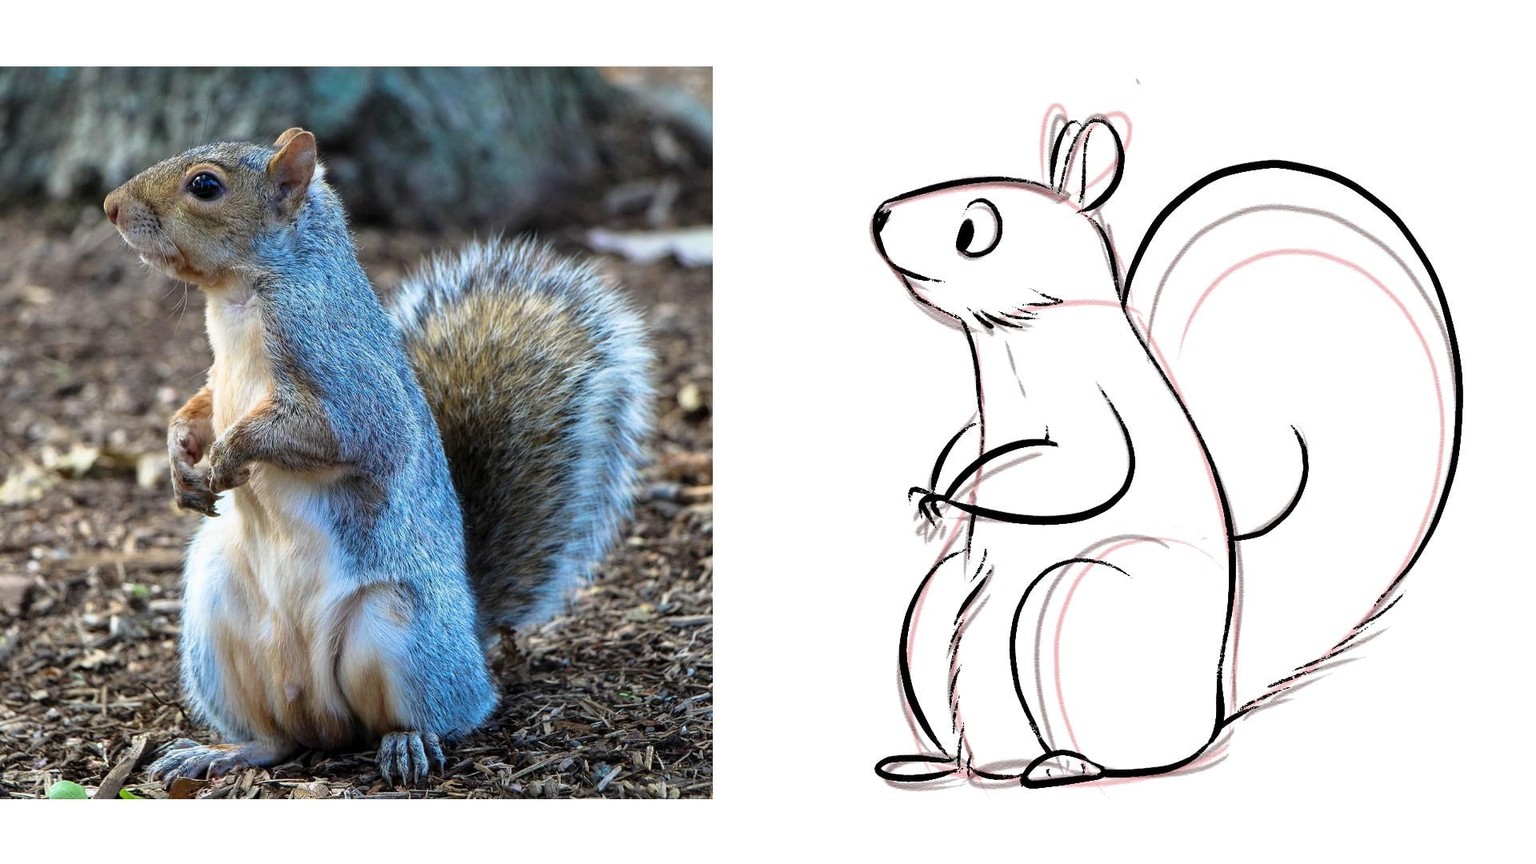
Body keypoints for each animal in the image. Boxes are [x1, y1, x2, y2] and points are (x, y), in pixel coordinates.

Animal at [102, 128, 653, 786]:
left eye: (205, 185)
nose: (110, 206)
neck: (238, 298)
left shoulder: (343, 375)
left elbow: (336, 433)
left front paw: (224, 457)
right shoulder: (219, 377)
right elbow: (201, 406)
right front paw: (180, 456)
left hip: (399, 631)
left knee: (432, 715)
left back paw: (407, 743)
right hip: (215, 618)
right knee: (277, 739)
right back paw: (224, 752)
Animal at [869, 107, 1460, 787]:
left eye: (974, 230)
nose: (879, 214)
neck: (1016, 343)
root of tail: (1215, 712)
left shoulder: (1096, 421)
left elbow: (1077, 470)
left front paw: (956, 491)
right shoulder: (986, 417)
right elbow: (967, 437)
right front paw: (937, 484)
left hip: (1066, 604)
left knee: (1124, 755)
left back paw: (1059, 764)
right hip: (935, 611)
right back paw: (940, 762)